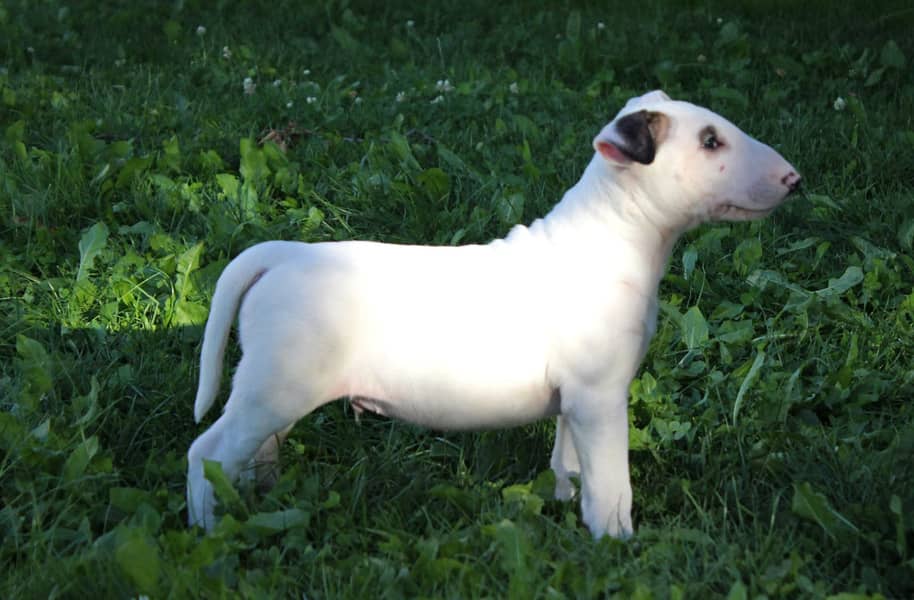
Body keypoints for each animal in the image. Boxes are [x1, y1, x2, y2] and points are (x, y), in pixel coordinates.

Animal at [187, 91, 800, 536]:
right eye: (710, 141)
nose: (793, 179)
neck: (614, 234)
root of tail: (281, 255)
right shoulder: (601, 398)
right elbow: (611, 484)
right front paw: (615, 542)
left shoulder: (578, 402)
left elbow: (569, 464)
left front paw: (565, 507)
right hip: (272, 389)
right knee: (207, 451)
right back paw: (208, 526)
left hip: (278, 390)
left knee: (255, 451)